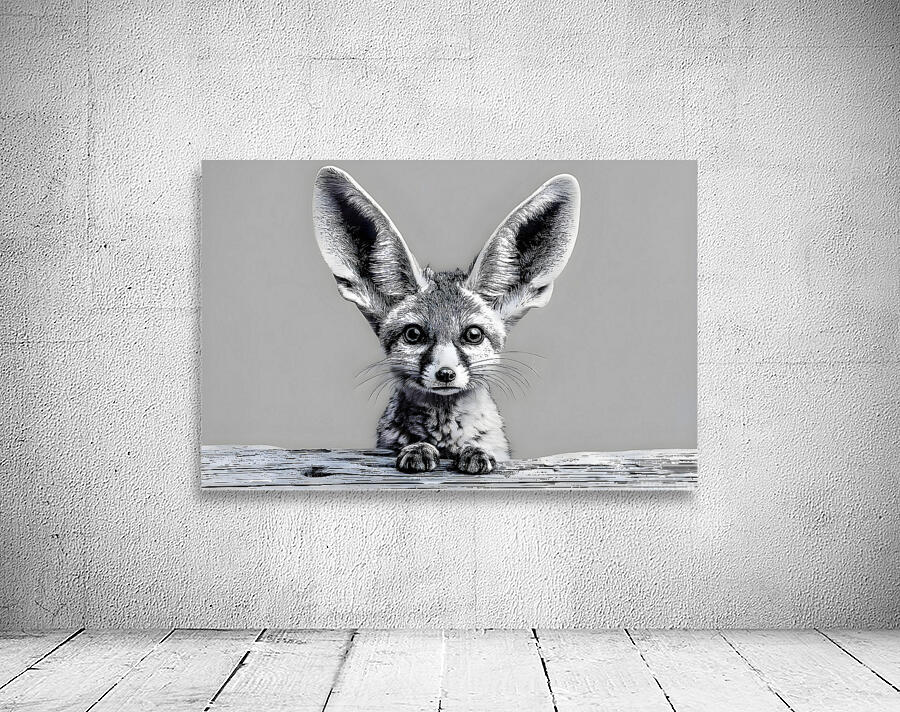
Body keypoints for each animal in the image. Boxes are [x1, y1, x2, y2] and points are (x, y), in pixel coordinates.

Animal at [312, 166, 580, 474]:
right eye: (413, 334)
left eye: (473, 335)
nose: (445, 374)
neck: (445, 436)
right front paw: (418, 448)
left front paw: (474, 450)